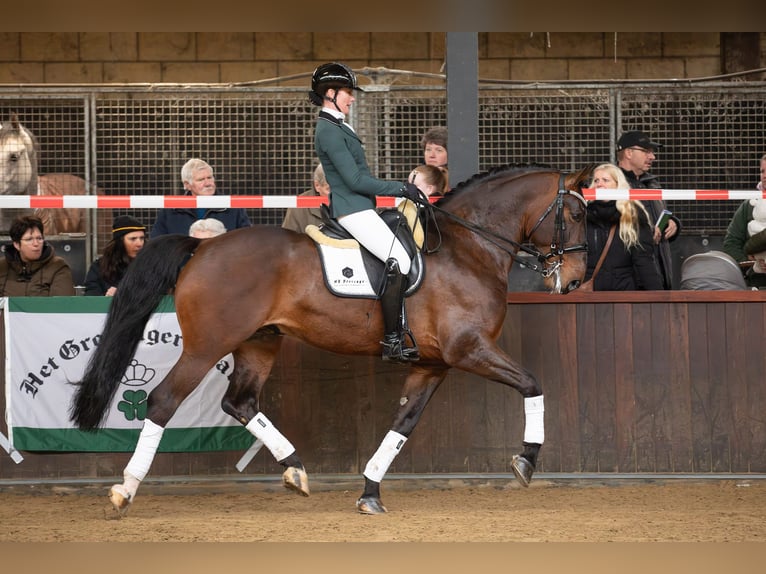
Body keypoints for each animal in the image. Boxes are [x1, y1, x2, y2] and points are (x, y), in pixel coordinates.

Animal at [69, 163, 592, 516]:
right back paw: (125, 489)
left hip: (259, 342)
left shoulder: (433, 363)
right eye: (575, 212)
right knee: (162, 401)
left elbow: (403, 424)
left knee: (239, 402)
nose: (574, 279)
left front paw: (370, 492)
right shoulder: (469, 349)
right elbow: (532, 384)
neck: (468, 248)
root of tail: (204, 245)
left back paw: (295, 470)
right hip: (206, 347)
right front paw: (526, 461)